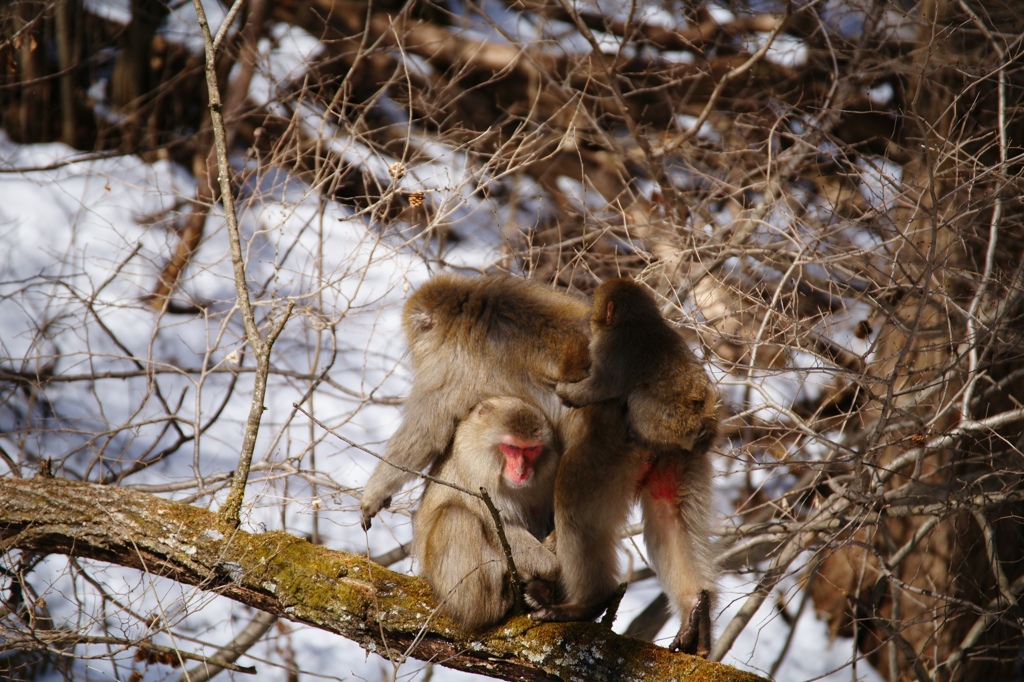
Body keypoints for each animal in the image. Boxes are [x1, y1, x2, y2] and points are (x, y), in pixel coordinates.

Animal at [411, 395, 561, 630]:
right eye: (511, 447)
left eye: (531, 450)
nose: (521, 471)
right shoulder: (476, 474)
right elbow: (499, 527)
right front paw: (553, 567)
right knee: (457, 516)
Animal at [552, 276, 720, 655]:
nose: (589, 321)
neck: (639, 321)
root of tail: (703, 424)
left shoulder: (612, 348)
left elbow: (601, 386)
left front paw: (568, 392)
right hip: (681, 459)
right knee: (671, 519)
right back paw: (696, 612)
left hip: (664, 422)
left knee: (636, 401)